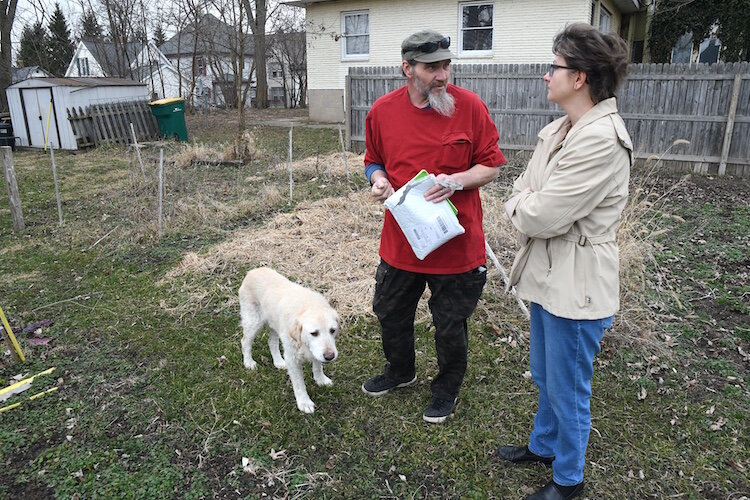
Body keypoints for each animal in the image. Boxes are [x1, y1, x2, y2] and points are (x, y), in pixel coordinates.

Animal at [239, 268, 340, 412]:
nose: (330, 356)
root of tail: (253, 270)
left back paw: (279, 362)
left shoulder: (315, 351)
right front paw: (304, 403)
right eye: (314, 333)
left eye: (332, 330)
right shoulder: (292, 357)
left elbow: (317, 366)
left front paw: (321, 379)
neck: (308, 306)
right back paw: (248, 362)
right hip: (254, 322)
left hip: (275, 326)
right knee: (245, 342)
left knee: (271, 342)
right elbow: (299, 383)